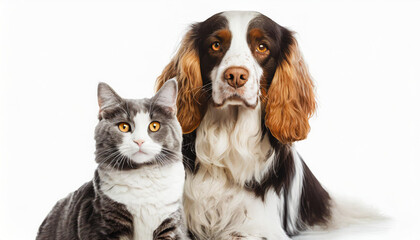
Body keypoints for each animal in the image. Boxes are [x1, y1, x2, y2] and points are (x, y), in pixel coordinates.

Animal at [37, 79, 188, 239]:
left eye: (154, 126)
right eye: (123, 127)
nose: (139, 141)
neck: (142, 176)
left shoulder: (171, 222)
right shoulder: (105, 220)